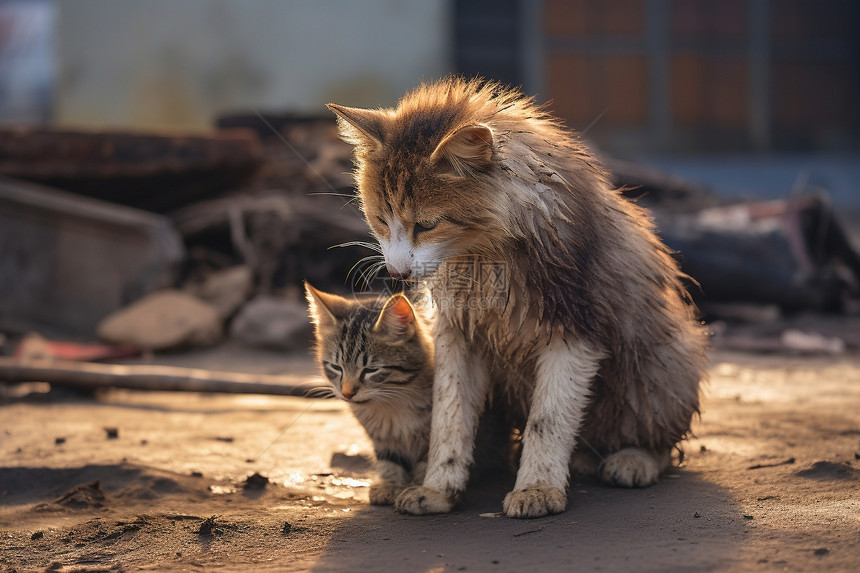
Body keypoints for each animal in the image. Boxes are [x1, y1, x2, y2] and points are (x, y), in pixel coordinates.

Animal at [304, 282, 436, 504]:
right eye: (336, 367)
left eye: (371, 370)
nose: (347, 393)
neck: (394, 405)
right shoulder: (381, 437)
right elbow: (389, 459)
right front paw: (389, 483)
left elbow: (428, 462)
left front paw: (419, 488)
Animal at [328, 77, 704, 520]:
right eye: (381, 220)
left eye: (427, 225)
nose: (398, 273)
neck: (483, 252)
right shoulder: (457, 332)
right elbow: (448, 416)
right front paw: (437, 488)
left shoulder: (576, 329)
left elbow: (548, 418)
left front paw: (537, 489)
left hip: (664, 361)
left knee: (660, 440)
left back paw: (633, 459)